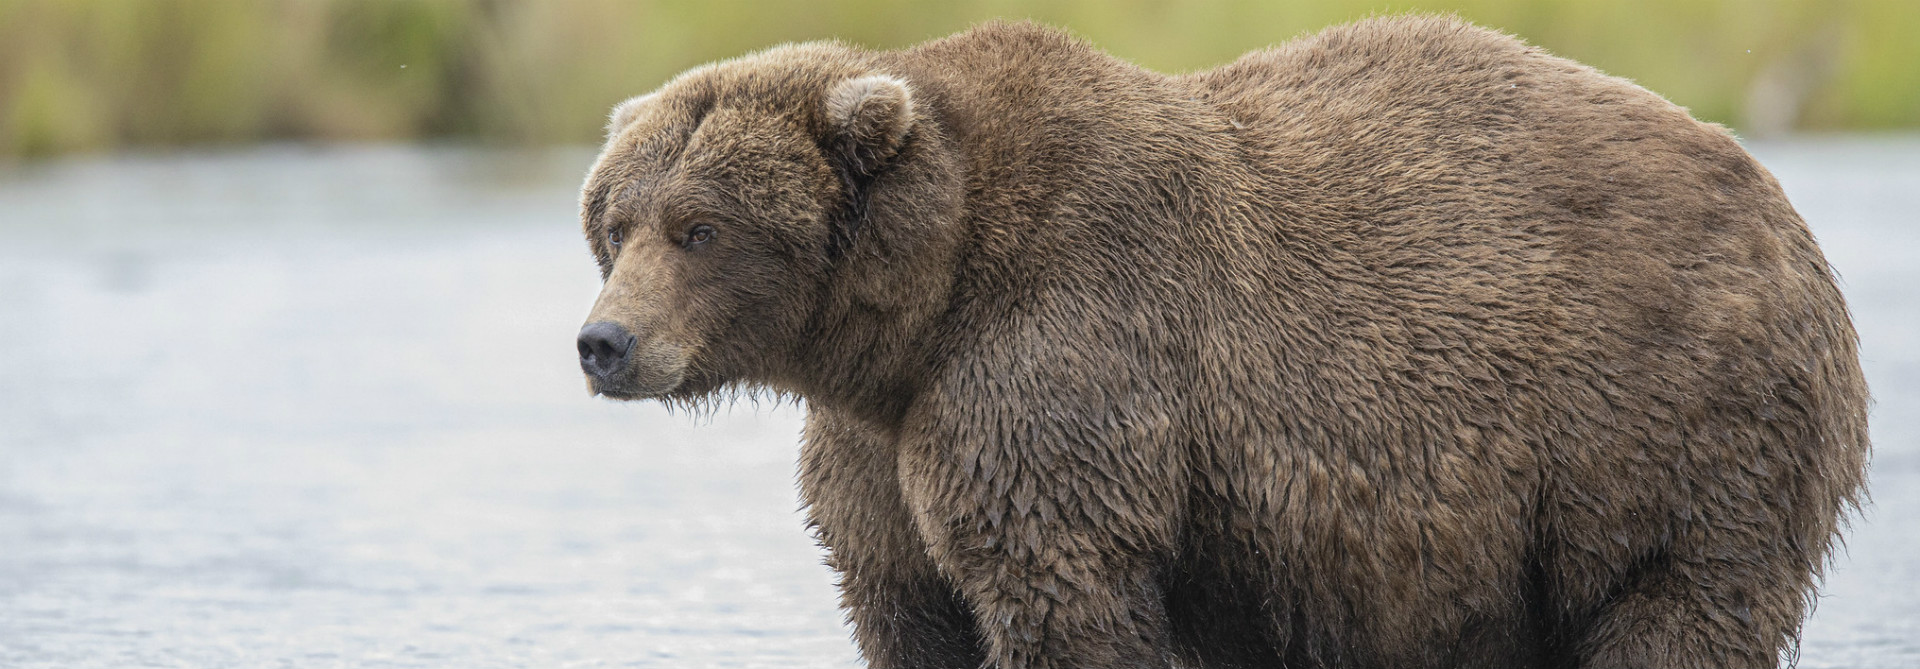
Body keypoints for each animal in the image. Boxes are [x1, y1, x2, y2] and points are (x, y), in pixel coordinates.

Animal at [576, 15, 1866, 669]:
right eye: (615, 221)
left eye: (700, 226)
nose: (605, 343)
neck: (915, 313)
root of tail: (1781, 204)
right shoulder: (875, 447)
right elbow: (905, 600)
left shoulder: (1059, 365)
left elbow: (1058, 590)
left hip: (1662, 419)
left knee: (1678, 604)